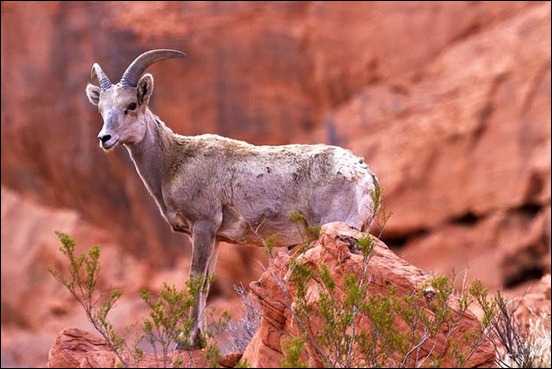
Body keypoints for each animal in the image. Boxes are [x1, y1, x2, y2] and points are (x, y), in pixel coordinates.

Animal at [86, 48, 382, 344]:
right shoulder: (215, 238)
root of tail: (364, 174)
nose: (105, 138)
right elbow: (207, 282)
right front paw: (200, 337)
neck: (173, 162)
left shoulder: (203, 226)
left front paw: (188, 339)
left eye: (131, 105)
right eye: (102, 109)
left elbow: (195, 278)